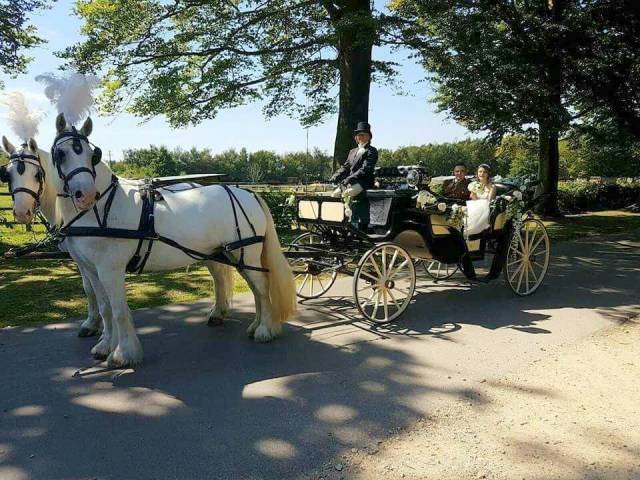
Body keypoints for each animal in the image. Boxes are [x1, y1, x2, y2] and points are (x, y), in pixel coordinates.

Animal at [0, 135, 103, 337]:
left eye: (37, 175)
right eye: (7, 175)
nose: (22, 213)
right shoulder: (80, 257)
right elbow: (90, 288)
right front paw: (93, 323)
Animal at [41, 112, 296, 368]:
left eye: (92, 155)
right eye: (60, 154)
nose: (86, 195)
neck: (103, 207)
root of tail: (248, 193)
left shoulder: (110, 269)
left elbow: (118, 309)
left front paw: (124, 354)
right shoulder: (91, 270)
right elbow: (105, 308)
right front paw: (104, 346)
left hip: (247, 253)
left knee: (261, 286)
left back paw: (265, 329)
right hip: (231, 253)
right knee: (253, 287)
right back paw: (254, 324)